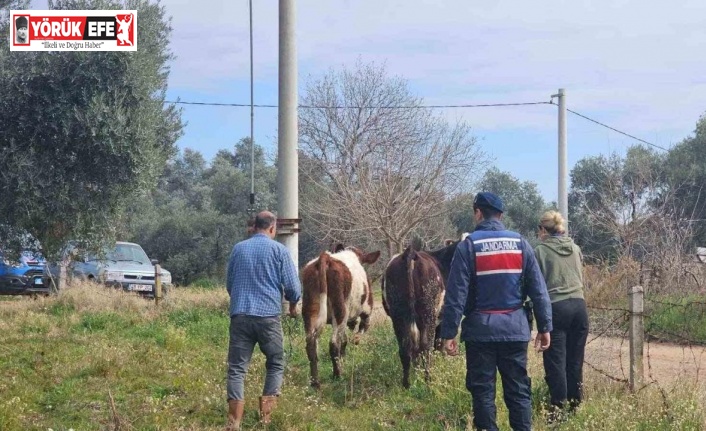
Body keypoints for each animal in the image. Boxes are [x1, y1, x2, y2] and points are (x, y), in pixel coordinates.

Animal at [302, 245, 380, 390]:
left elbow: (344, 340)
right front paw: (355, 341)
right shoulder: (367, 312)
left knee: (311, 345)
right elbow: (358, 333)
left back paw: (315, 382)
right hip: (340, 311)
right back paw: (337, 375)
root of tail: (326, 258)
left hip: (309, 310)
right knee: (333, 344)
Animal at [382, 238, 464, 390]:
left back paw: (407, 383)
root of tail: (410, 252)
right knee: (426, 346)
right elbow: (439, 344)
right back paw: (428, 380)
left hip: (398, 316)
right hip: (428, 314)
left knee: (406, 347)